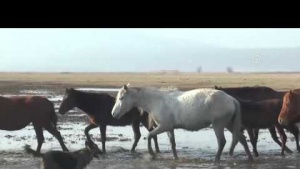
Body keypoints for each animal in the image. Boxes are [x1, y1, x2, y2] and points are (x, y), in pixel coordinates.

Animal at [110, 85, 253, 163]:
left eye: (121, 98)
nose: (113, 114)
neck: (157, 101)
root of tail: (231, 99)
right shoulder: (169, 128)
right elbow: (172, 144)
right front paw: (175, 158)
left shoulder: (164, 126)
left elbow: (150, 136)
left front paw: (152, 154)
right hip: (229, 124)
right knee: (241, 138)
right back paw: (250, 158)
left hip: (218, 125)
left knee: (222, 142)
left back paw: (216, 160)